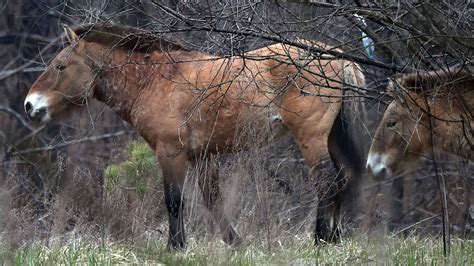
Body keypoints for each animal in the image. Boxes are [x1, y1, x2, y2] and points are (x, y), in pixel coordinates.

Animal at [24, 23, 364, 249]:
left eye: (60, 66)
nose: (30, 105)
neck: (153, 79)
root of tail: (338, 56)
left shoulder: (170, 153)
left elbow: (174, 200)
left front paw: (175, 247)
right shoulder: (203, 155)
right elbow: (212, 200)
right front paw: (235, 243)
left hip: (311, 137)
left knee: (327, 181)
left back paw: (320, 239)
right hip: (331, 137)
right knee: (342, 178)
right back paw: (334, 239)